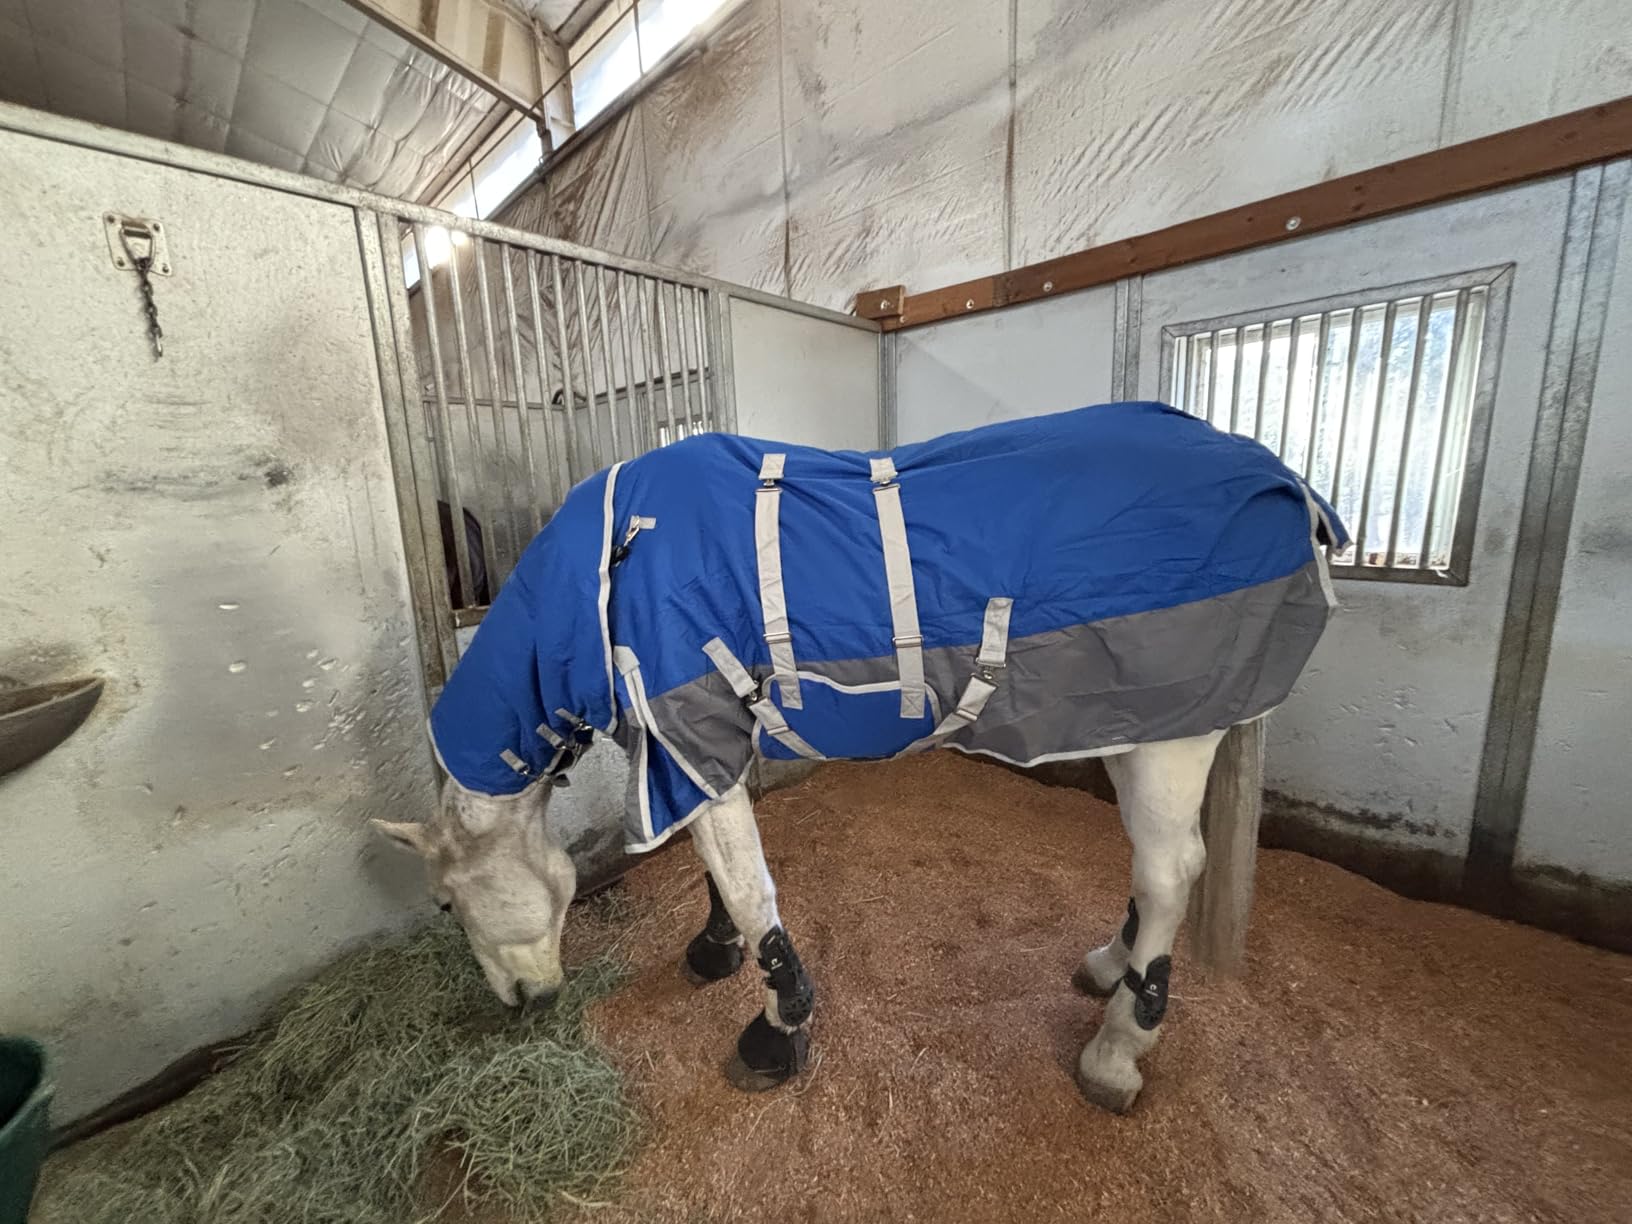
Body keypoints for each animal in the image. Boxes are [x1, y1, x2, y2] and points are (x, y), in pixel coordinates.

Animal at [376, 402, 1345, 1113]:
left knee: (1171, 870)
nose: (520, 1002)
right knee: (1157, 868)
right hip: (1135, 723)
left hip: (1173, 736)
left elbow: (746, 884)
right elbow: (717, 867)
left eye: (445, 901)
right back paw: (1109, 964)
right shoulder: (699, 748)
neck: (616, 564)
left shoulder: (688, 736)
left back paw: (1117, 1047)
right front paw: (715, 949)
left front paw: (776, 1028)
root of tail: (1281, 479)